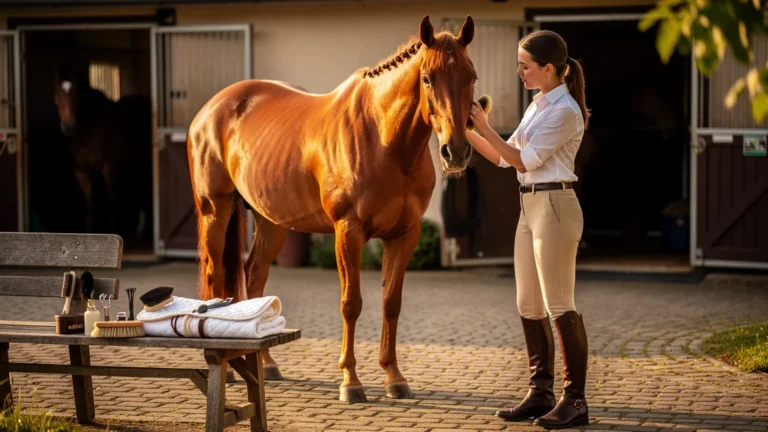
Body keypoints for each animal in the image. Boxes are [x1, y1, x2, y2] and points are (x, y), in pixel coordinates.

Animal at [53, 66, 152, 242]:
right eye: (57, 94)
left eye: (76, 95)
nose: (68, 127)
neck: (88, 130)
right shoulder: (80, 171)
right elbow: (89, 202)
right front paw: (90, 232)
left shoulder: (108, 168)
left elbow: (110, 200)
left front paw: (115, 231)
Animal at [188, 15, 477, 403]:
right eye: (428, 78)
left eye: (471, 76)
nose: (456, 151)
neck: (384, 140)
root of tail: (210, 110)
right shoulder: (348, 231)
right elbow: (351, 303)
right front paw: (350, 382)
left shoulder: (405, 234)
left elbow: (391, 302)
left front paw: (394, 378)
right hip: (215, 211)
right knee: (213, 273)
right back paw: (225, 366)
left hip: (269, 222)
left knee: (255, 276)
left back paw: (266, 365)